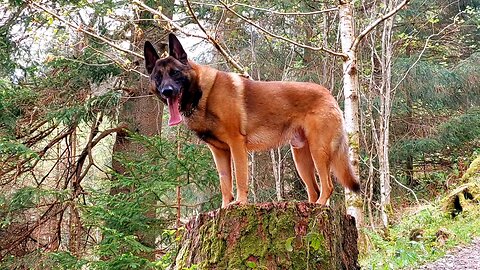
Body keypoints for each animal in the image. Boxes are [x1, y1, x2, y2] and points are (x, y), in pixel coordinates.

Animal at [143, 33, 360, 207]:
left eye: (175, 73)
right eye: (158, 76)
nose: (167, 91)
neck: (202, 94)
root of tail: (328, 94)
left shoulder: (237, 145)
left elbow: (240, 178)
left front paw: (240, 202)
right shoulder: (219, 152)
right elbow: (225, 184)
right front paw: (225, 207)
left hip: (318, 151)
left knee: (328, 186)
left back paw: (321, 205)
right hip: (301, 158)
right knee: (314, 189)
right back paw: (312, 206)